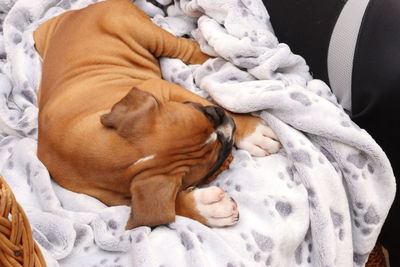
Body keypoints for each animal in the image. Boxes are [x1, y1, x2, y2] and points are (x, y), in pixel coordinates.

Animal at [34, 0, 280, 230]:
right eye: (215, 163)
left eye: (204, 114)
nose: (226, 123)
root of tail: (80, 11)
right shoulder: (117, 197)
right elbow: (161, 207)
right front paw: (207, 208)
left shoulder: (163, 87)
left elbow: (208, 100)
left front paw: (253, 132)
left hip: (147, 33)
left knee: (186, 47)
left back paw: (217, 58)